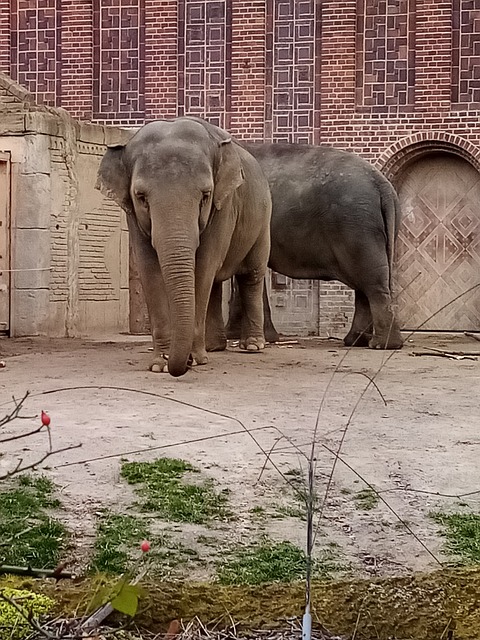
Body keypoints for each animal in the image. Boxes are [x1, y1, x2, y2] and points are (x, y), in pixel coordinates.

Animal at [95, 116, 272, 376]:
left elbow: (204, 265)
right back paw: (214, 347)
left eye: (206, 195)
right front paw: (160, 364)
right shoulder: (133, 216)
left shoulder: (223, 205)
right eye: (140, 197)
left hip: (263, 220)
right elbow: (149, 270)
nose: (184, 362)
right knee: (215, 283)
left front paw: (195, 359)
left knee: (251, 275)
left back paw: (252, 346)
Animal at [216, 143, 404, 350]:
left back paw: (382, 345)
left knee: (371, 281)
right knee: (366, 284)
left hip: (358, 228)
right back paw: (356, 341)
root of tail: (382, 184)